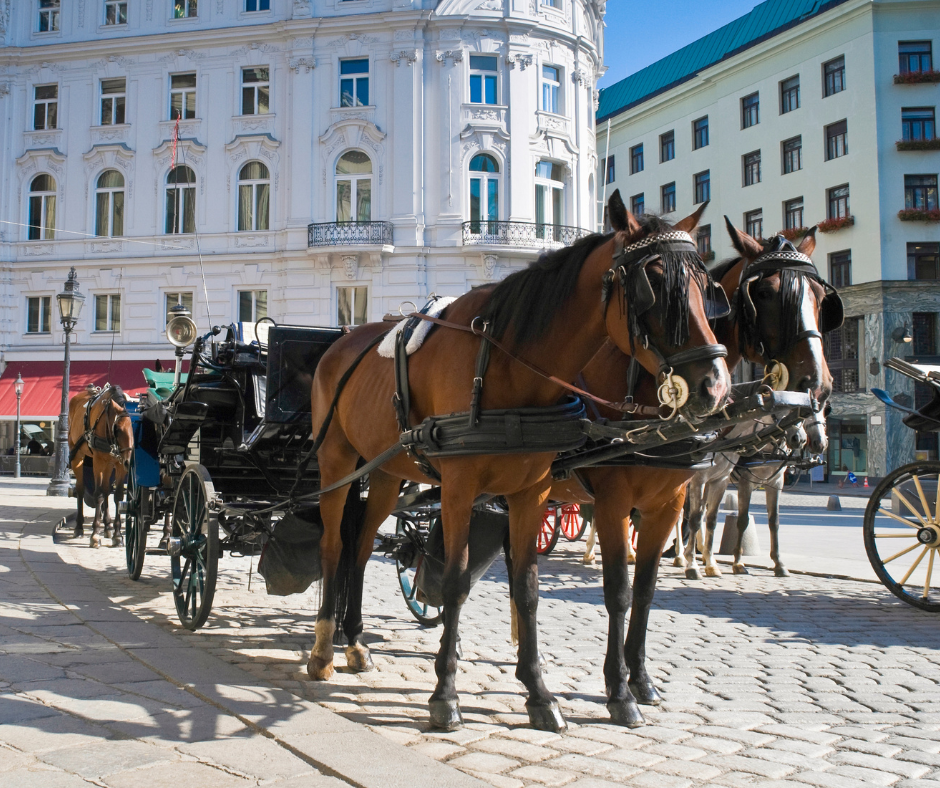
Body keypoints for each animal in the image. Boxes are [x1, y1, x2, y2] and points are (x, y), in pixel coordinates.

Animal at [68, 384, 133, 548]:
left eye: (133, 429)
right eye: (118, 430)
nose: (129, 462)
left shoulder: (119, 464)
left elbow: (117, 496)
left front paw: (117, 535)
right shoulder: (98, 462)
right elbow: (98, 495)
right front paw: (95, 535)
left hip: (109, 464)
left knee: (106, 490)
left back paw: (108, 526)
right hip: (78, 457)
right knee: (81, 489)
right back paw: (79, 527)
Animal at [304, 192, 732, 732]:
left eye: (707, 289)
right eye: (652, 284)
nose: (713, 386)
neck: (507, 364)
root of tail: (340, 339)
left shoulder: (545, 493)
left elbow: (535, 587)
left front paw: (542, 693)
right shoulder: (473, 491)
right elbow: (458, 582)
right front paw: (446, 696)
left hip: (384, 473)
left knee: (360, 548)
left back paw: (356, 641)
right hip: (338, 465)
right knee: (333, 547)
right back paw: (323, 649)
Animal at [552, 217, 836, 728]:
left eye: (820, 296)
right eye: (765, 292)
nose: (817, 384)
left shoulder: (673, 498)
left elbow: (648, 587)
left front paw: (642, 679)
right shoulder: (613, 504)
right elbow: (619, 591)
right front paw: (617, 690)